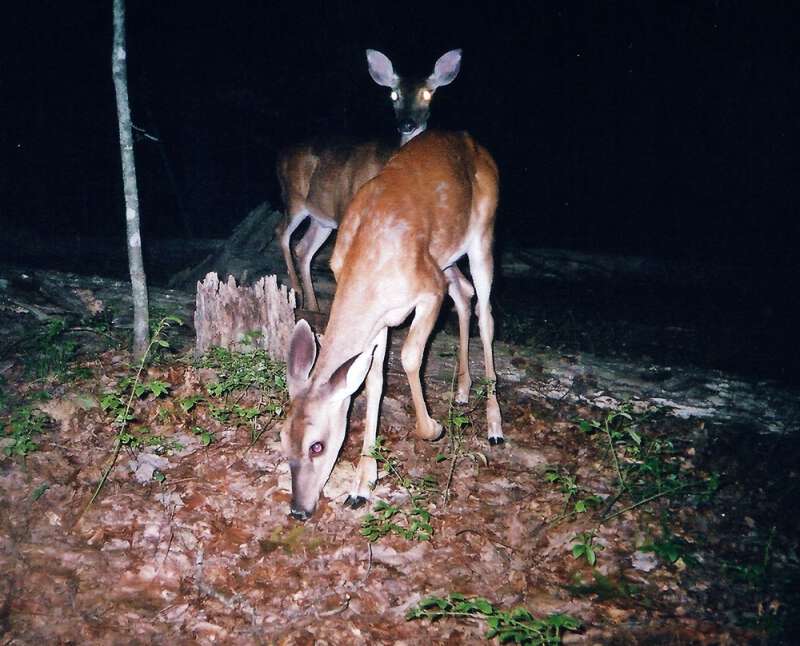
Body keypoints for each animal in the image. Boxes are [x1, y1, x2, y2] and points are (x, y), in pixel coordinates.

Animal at [276, 50, 462, 312]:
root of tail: (280, 154)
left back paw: (313, 306)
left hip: (322, 218)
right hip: (294, 198)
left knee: (303, 248)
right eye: (393, 94)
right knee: (282, 232)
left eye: (428, 93)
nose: (407, 123)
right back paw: (298, 291)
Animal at [284, 132, 504, 520]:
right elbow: (374, 380)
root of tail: (471, 141)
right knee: (464, 296)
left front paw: (432, 428)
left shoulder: (429, 290)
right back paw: (463, 390)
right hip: (445, 258)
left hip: (482, 233)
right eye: (282, 438)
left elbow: (410, 357)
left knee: (486, 314)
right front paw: (362, 484)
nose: (298, 510)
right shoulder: (382, 318)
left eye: (316, 446)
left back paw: (494, 425)